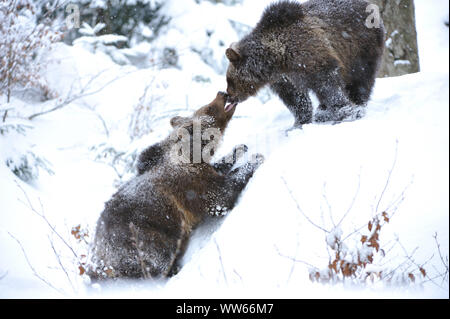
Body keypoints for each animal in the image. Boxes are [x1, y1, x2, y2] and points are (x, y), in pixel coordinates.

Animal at [89, 91, 262, 282]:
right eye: (208, 107)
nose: (222, 93)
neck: (189, 154)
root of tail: (97, 261)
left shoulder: (202, 170)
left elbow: (218, 168)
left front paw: (238, 149)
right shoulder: (190, 185)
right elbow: (220, 197)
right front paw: (255, 159)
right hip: (140, 236)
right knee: (156, 261)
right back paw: (173, 269)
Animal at [223, 0, 384, 127]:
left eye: (229, 80)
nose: (228, 96)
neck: (276, 60)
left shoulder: (311, 57)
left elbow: (328, 85)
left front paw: (347, 111)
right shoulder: (285, 78)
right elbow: (296, 99)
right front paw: (300, 122)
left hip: (359, 48)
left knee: (361, 78)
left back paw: (356, 104)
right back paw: (323, 110)